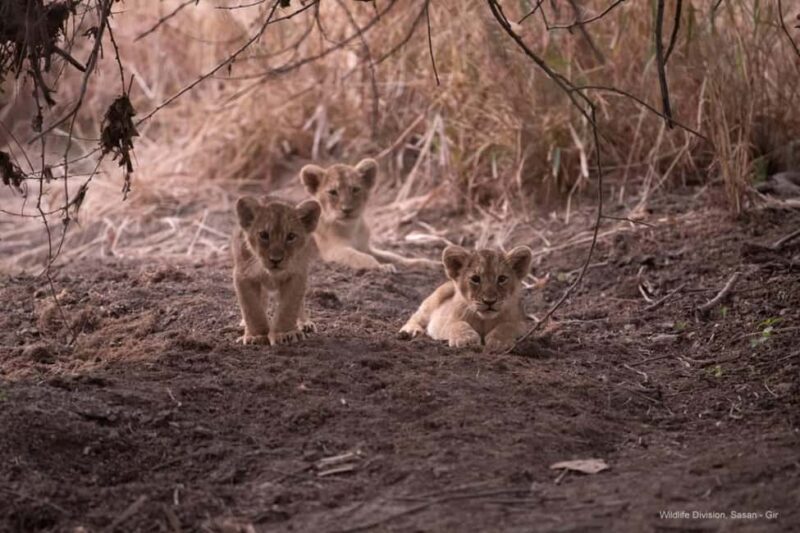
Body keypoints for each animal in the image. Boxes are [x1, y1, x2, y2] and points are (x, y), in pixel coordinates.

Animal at [232, 196, 321, 346]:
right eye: (264, 235)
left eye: (291, 236)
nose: (276, 260)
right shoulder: (243, 275)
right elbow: (252, 309)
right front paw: (256, 336)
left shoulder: (297, 275)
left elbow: (289, 307)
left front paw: (285, 334)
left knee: (300, 303)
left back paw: (305, 323)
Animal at [299, 158, 438, 272]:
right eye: (333, 192)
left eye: (355, 189)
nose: (347, 209)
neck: (351, 228)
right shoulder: (333, 251)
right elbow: (360, 257)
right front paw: (381, 267)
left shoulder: (366, 247)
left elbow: (393, 256)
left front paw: (426, 262)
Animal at [399, 245, 534, 351]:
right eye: (475, 279)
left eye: (502, 279)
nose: (489, 301)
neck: (484, 321)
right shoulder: (443, 322)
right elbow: (457, 323)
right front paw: (466, 339)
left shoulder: (522, 324)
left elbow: (507, 326)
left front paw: (498, 341)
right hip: (433, 300)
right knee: (416, 316)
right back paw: (410, 331)